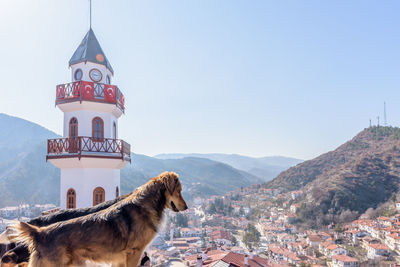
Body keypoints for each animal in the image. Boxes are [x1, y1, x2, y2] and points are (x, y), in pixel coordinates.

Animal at [6, 173, 188, 266]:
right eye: (179, 191)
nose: (186, 207)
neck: (146, 203)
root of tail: (39, 233)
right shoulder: (133, 253)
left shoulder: (120, 259)